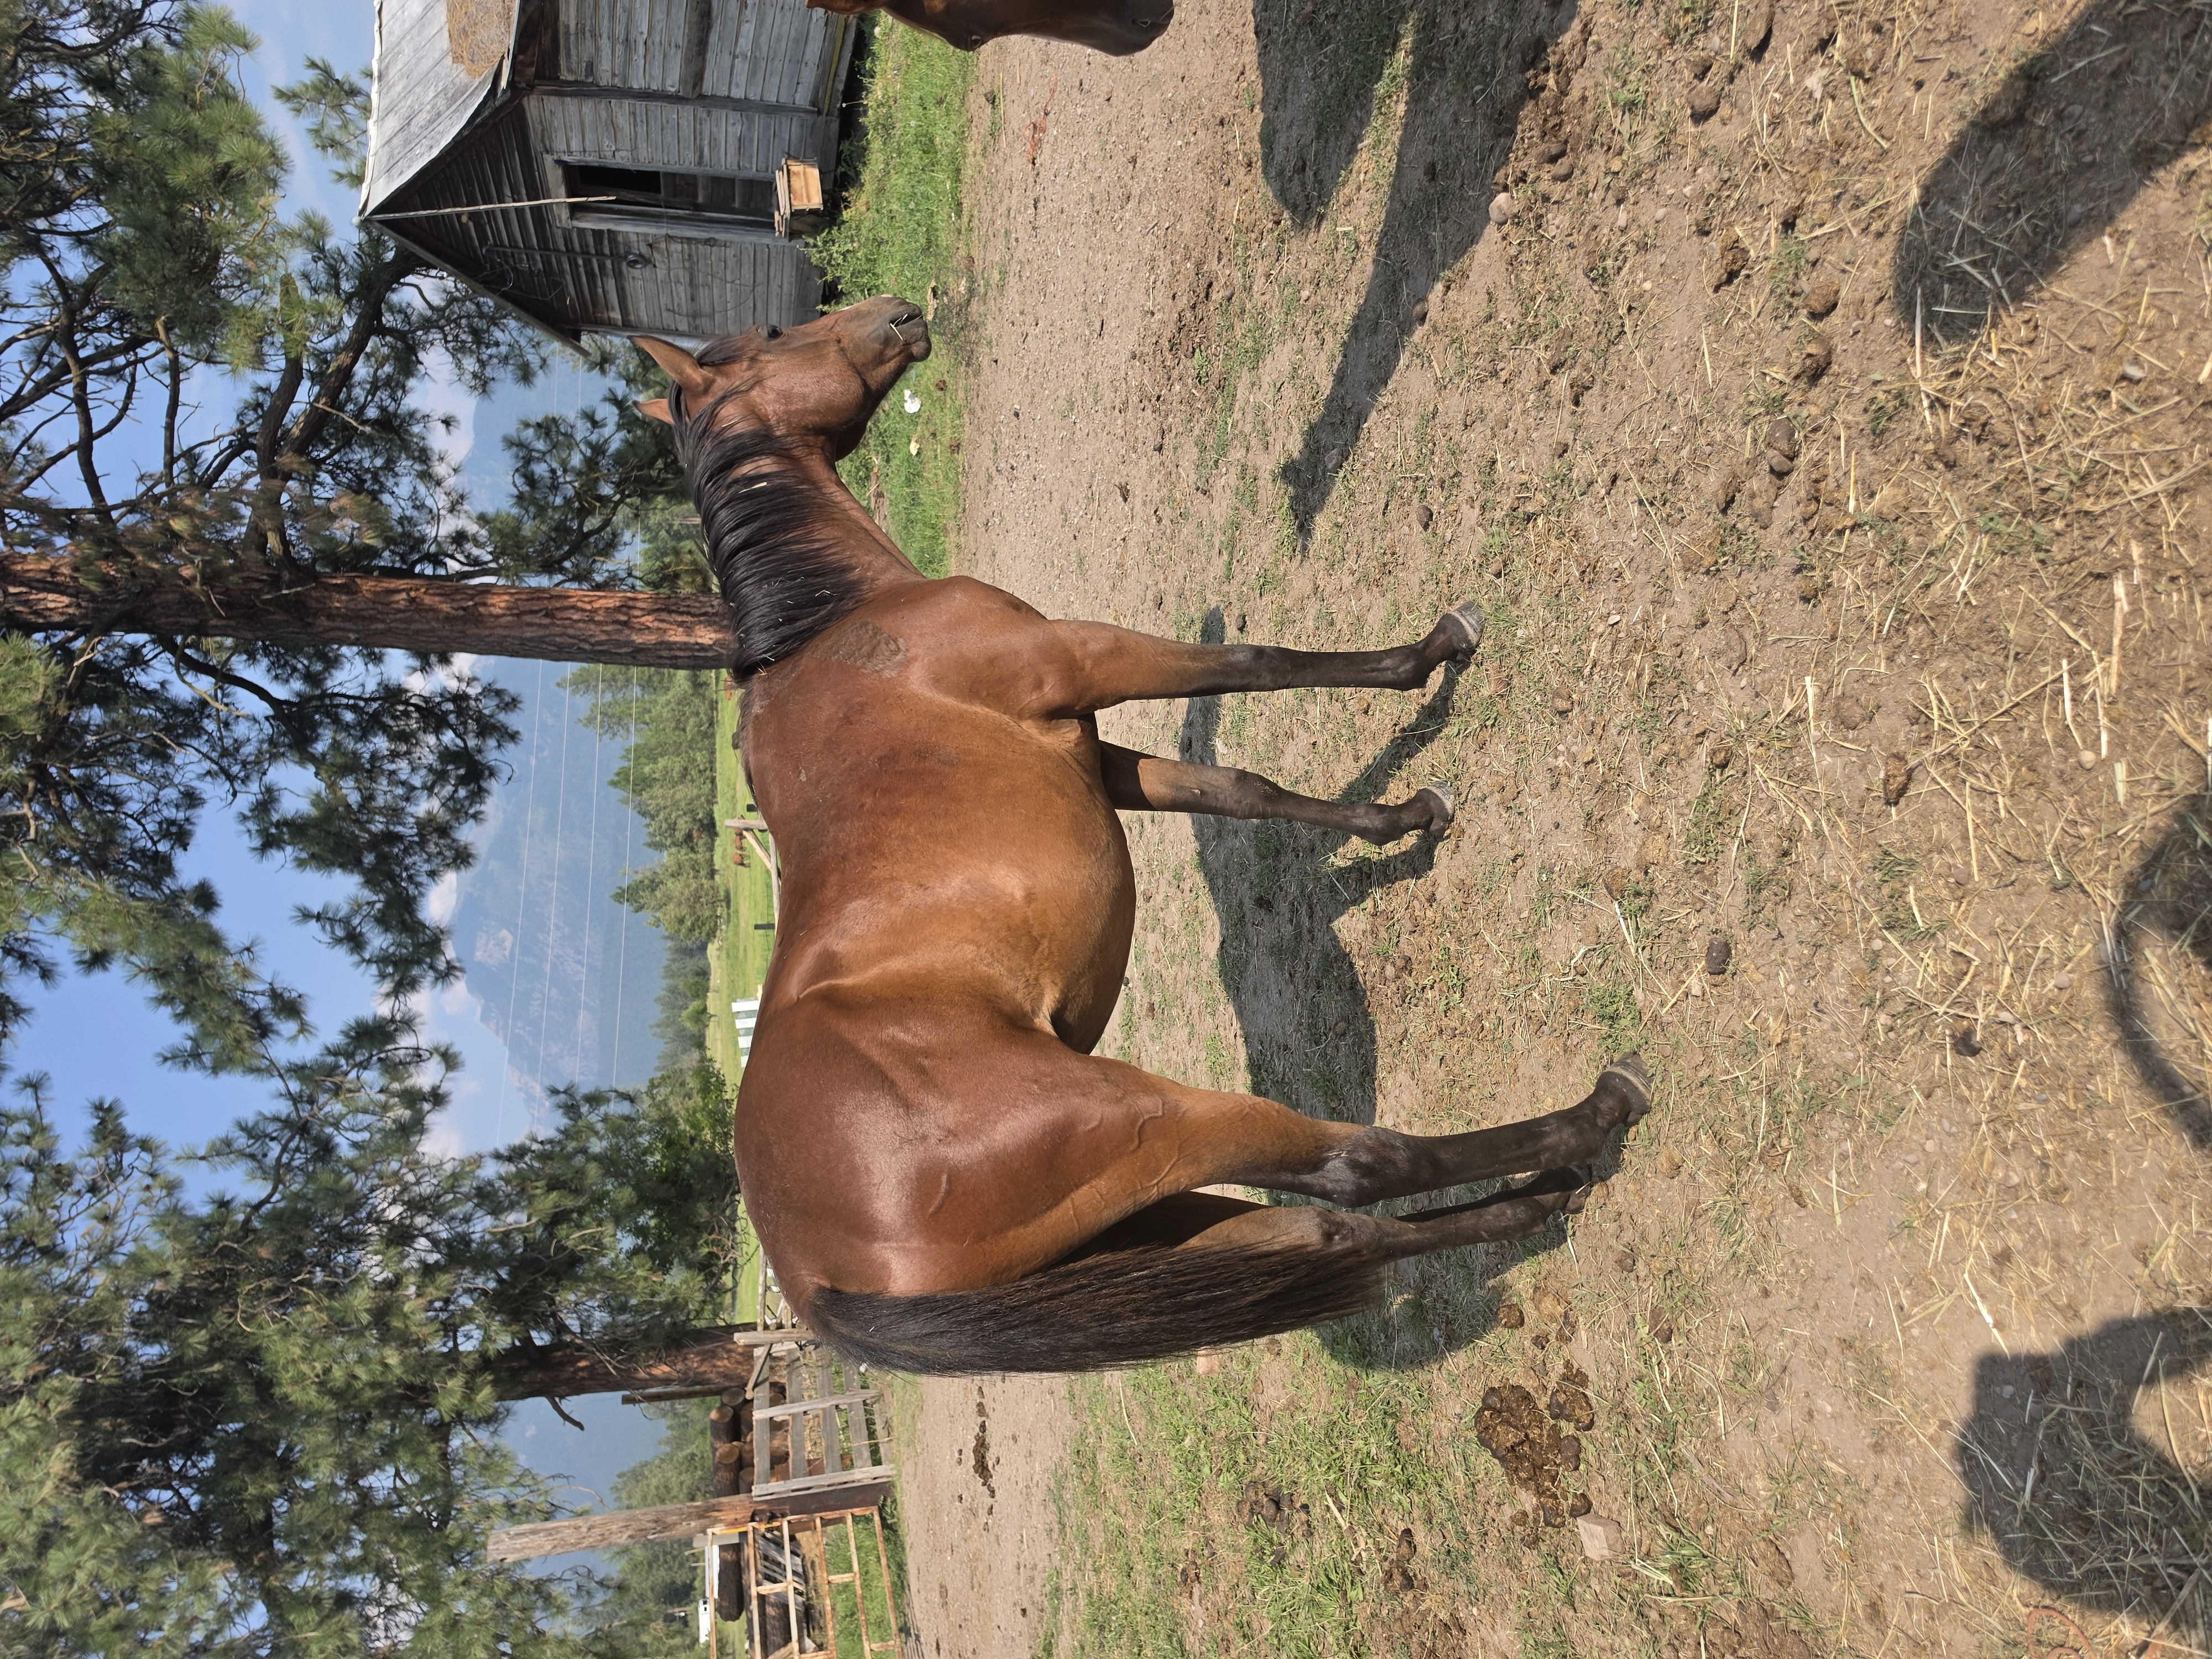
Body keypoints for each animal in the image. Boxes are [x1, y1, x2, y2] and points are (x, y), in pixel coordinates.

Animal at [633, 295, 1653, 1375]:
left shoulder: (1099, 756)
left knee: (1334, 1230)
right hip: (1149, 1120)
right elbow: (1255, 660)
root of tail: (819, 1284)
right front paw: (1431, 654)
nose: (898, 315)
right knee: (1358, 1167)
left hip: (1143, 1219)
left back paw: (1541, 1203)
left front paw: (1403, 818)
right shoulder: (1089, 658)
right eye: (774, 337)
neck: (839, 621)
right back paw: (1596, 1118)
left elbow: (1241, 788)